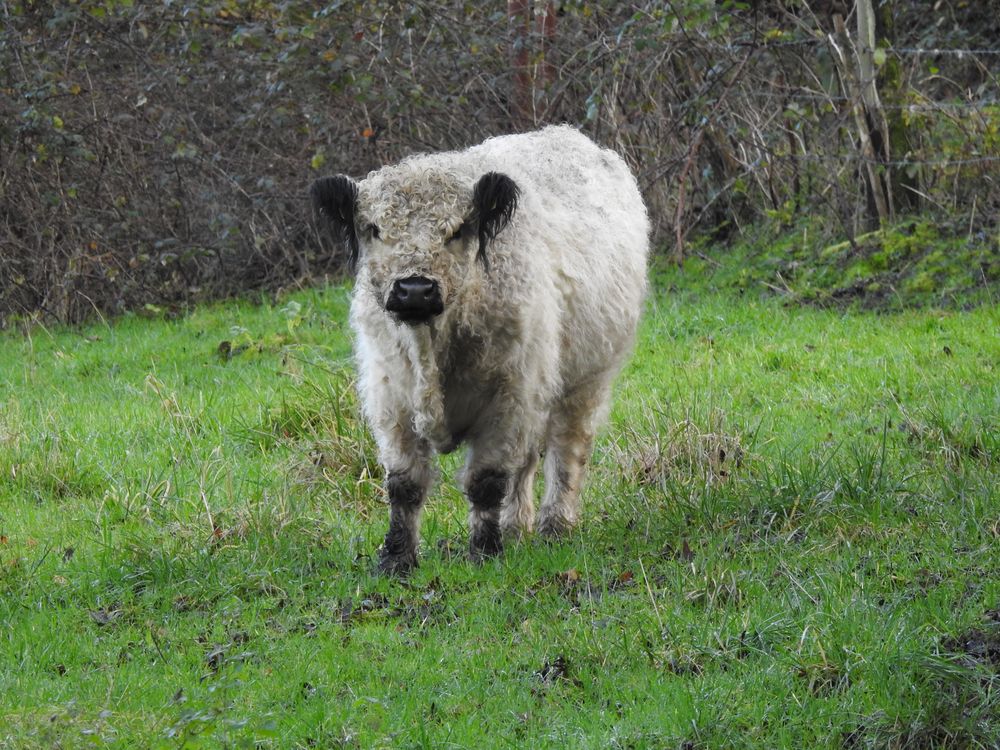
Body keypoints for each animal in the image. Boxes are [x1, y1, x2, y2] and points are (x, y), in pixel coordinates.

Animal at [316, 126, 652, 576]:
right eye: (373, 228)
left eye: (458, 230)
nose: (415, 289)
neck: (432, 349)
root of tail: (569, 134)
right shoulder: (391, 398)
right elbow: (404, 485)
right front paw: (397, 559)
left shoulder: (507, 401)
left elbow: (487, 481)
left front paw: (484, 553)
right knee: (526, 460)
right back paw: (516, 527)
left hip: (585, 379)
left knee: (567, 448)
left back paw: (555, 525)